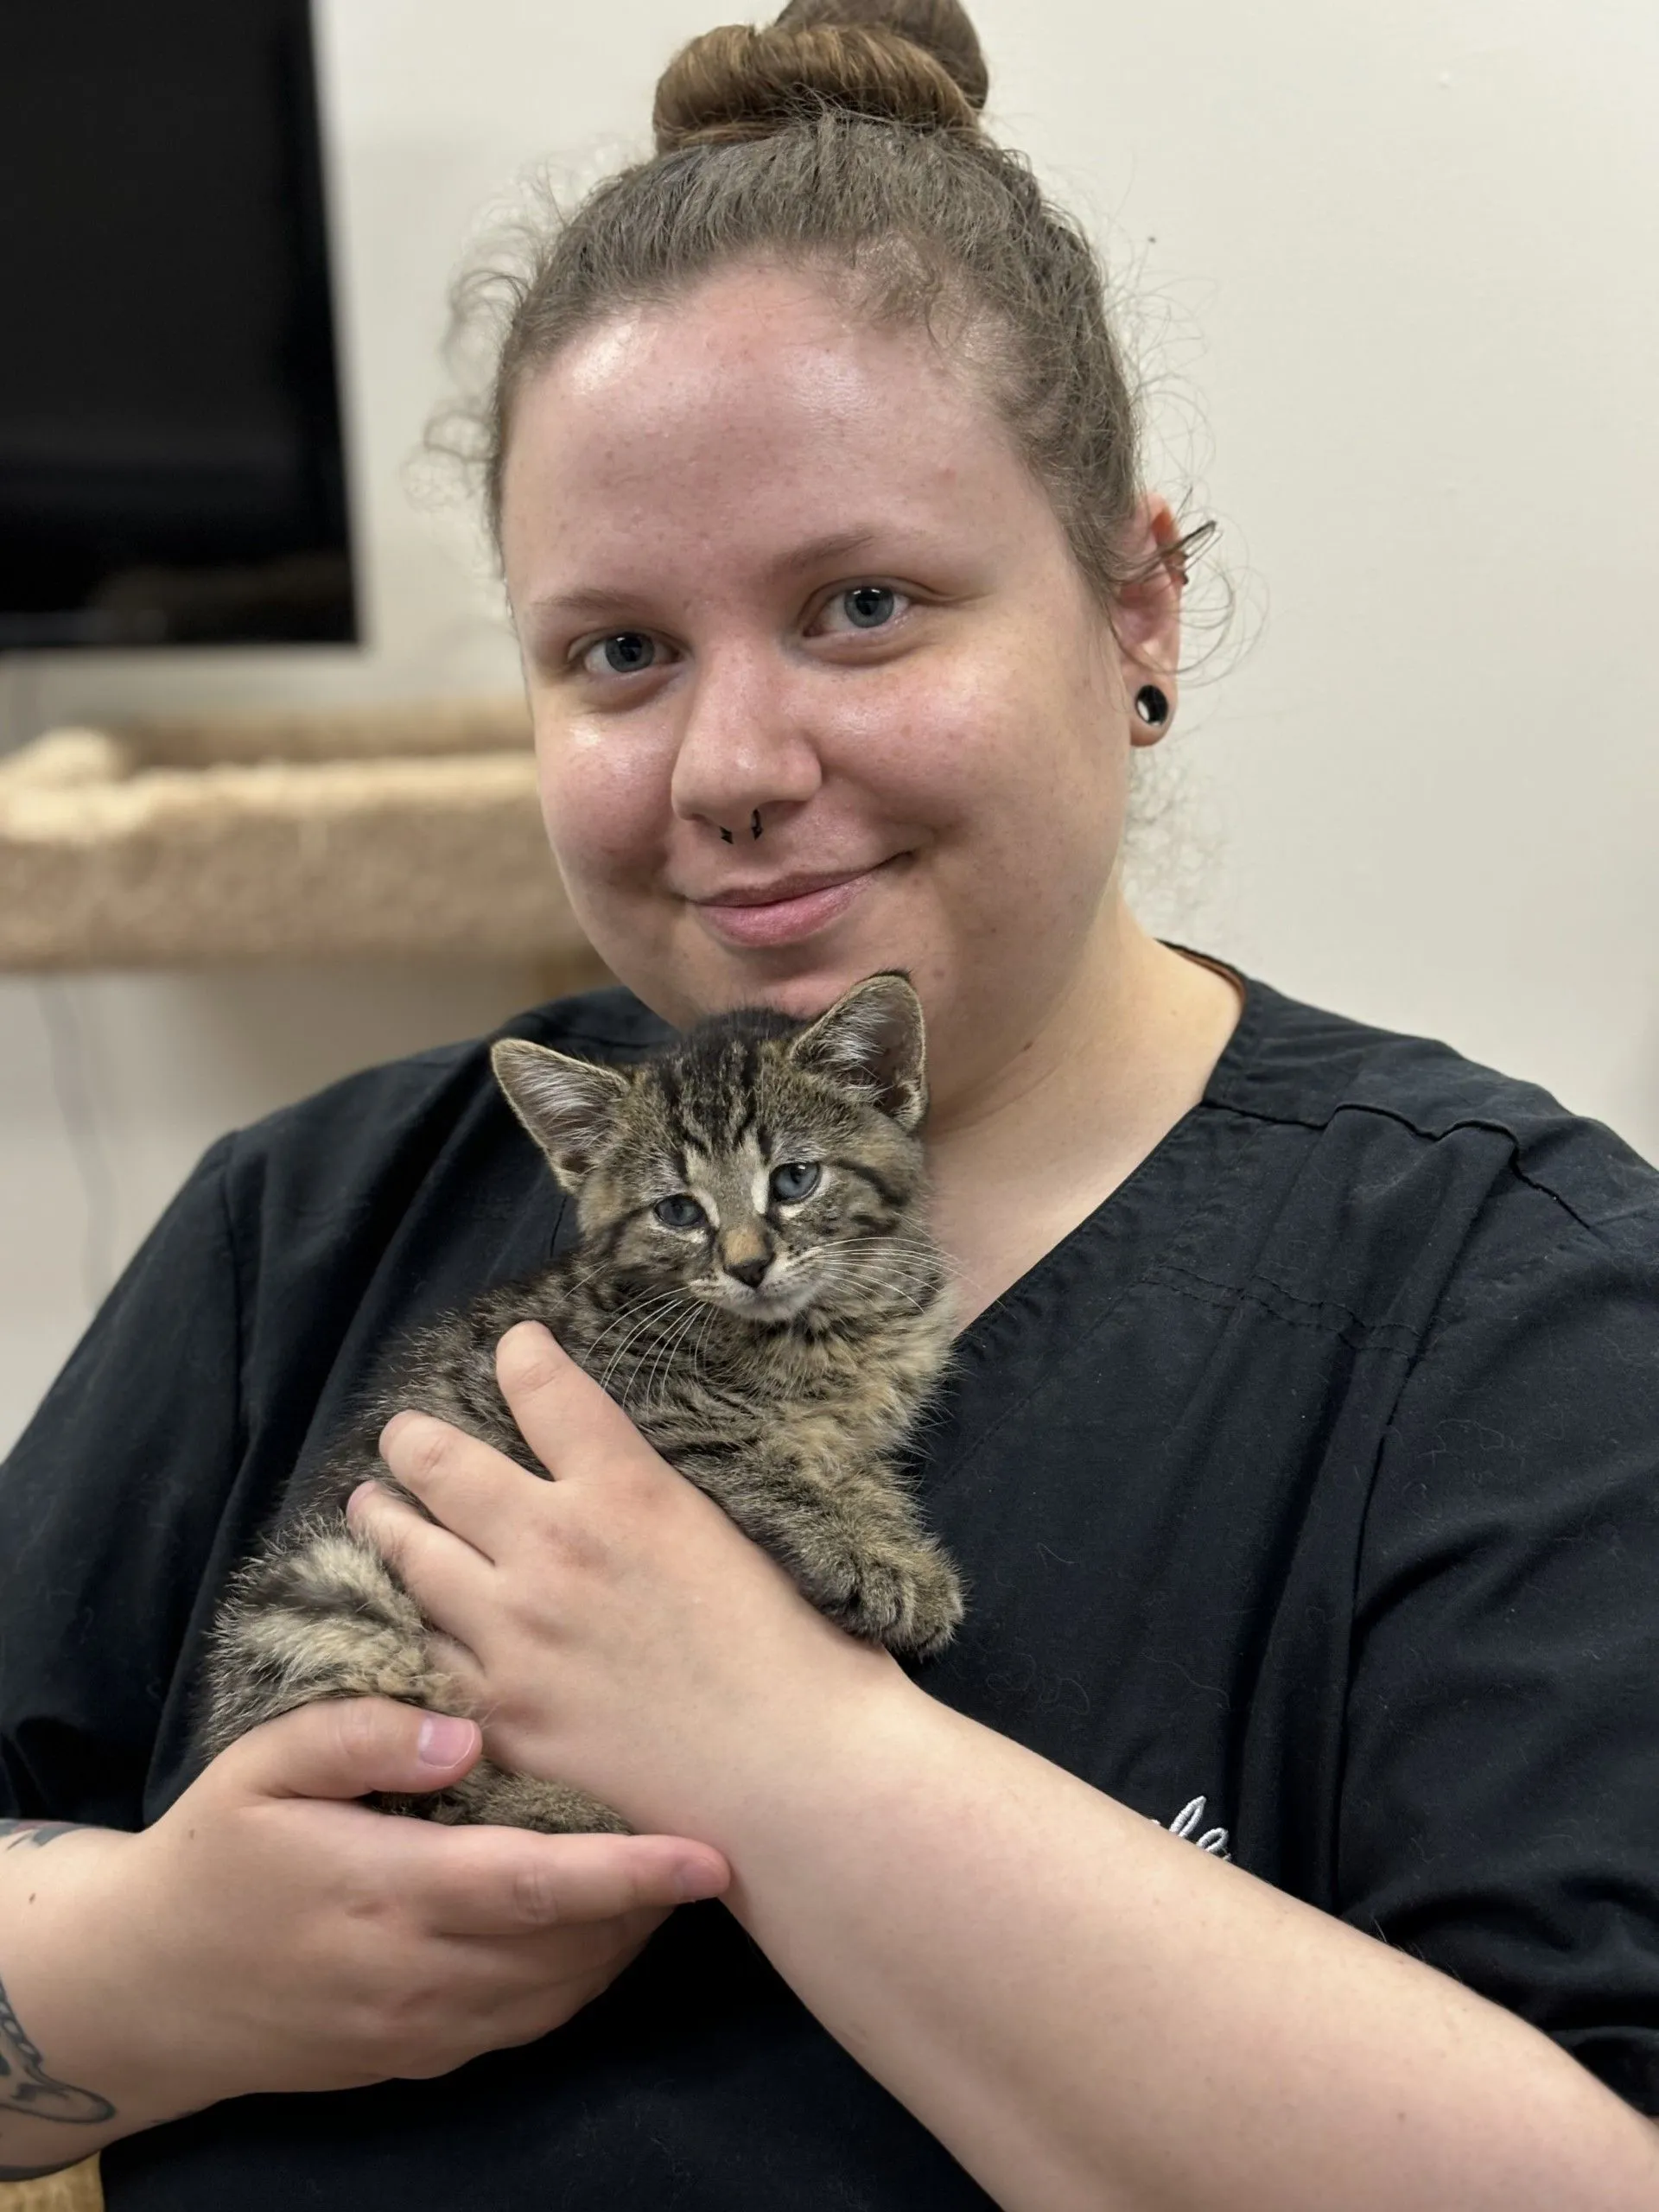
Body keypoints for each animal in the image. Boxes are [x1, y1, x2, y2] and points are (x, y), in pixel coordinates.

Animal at [196, 973, 969, 1831]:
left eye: (795, 1180)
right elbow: (761, 1460)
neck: (820, 1326)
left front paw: (899, 1551)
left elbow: (858, 1474)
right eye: (678, 1211)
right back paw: (562, 1812)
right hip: (331, 1590)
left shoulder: (863, 1420)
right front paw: (873, 1561)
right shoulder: (649, 1404)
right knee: (414, 1789)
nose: (748, 1266)